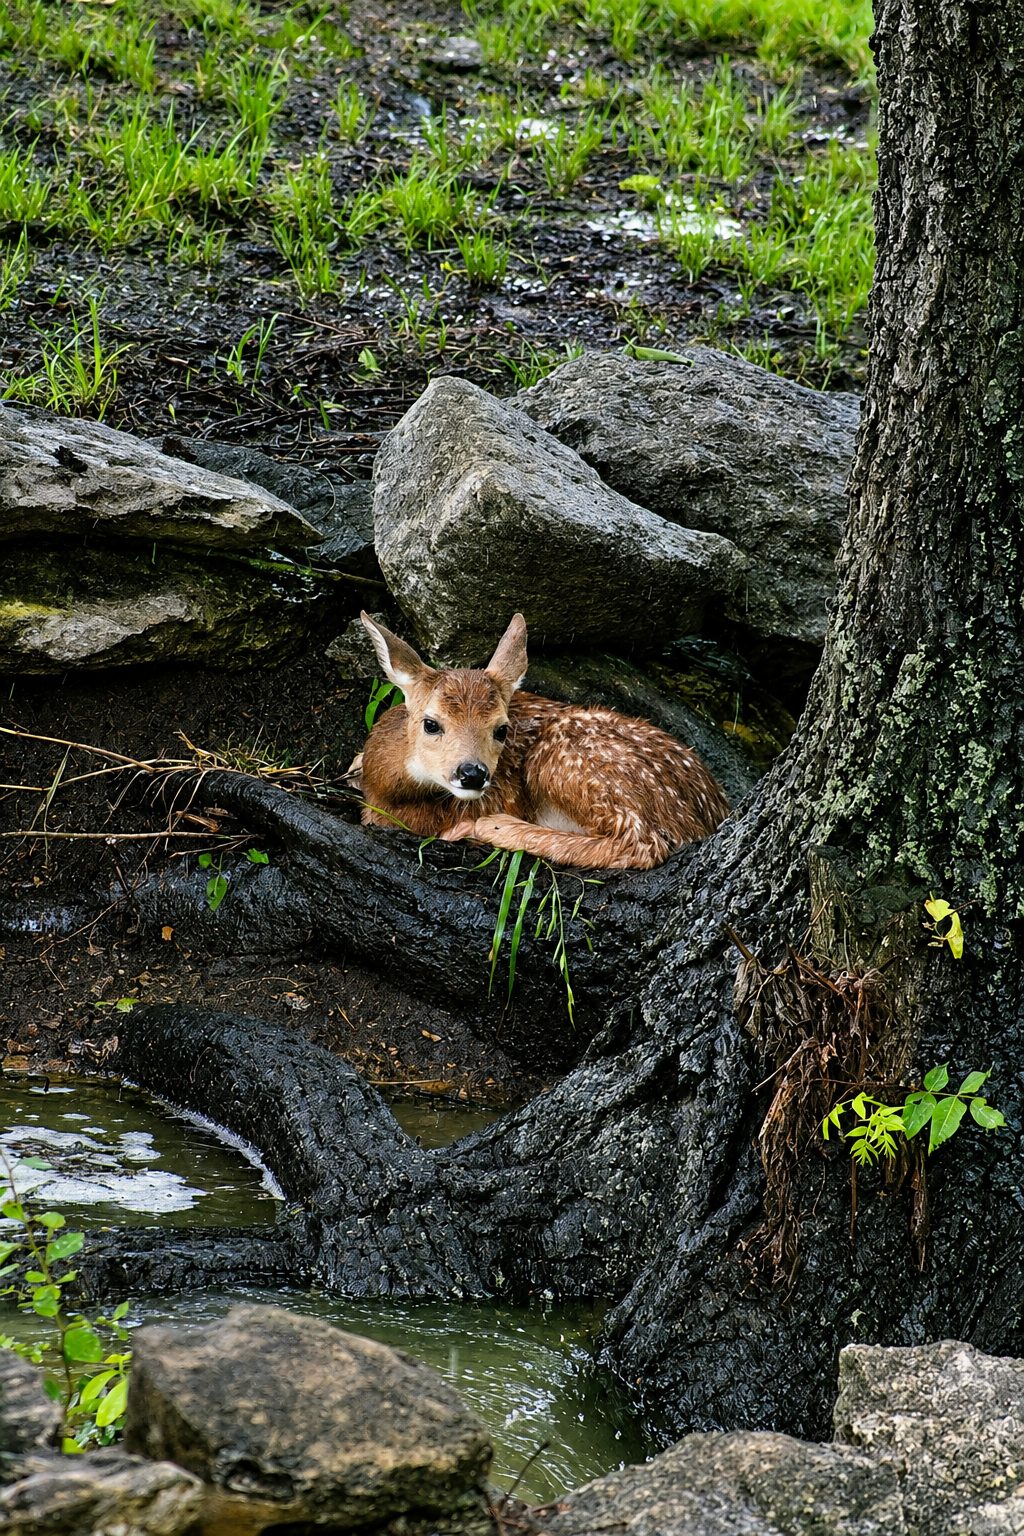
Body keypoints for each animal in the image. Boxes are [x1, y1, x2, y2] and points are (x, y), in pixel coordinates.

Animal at [352, 611, 730, 871]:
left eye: (502, 729)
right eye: (431, 724)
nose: (472, 773)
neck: (391, 793)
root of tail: (708, 816)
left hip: (566, 759)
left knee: (642, 842)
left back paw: (490, 827)